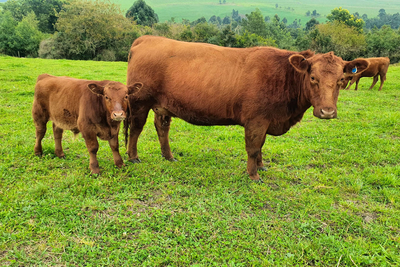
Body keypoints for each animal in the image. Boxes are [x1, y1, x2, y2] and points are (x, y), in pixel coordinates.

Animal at [124, 36, 368, 182]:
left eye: (341, 80)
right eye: (313, 78)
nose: (327, 112)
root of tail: (147, 38)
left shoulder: (266, 121)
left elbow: (260, 147)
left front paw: (261, 167)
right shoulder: (256, 120)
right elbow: (252, 147)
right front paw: (253, 175)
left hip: (163, 106)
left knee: (162, 128)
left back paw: (169, 156)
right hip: (139, 102)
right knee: (136, 129)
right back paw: (133, 157)